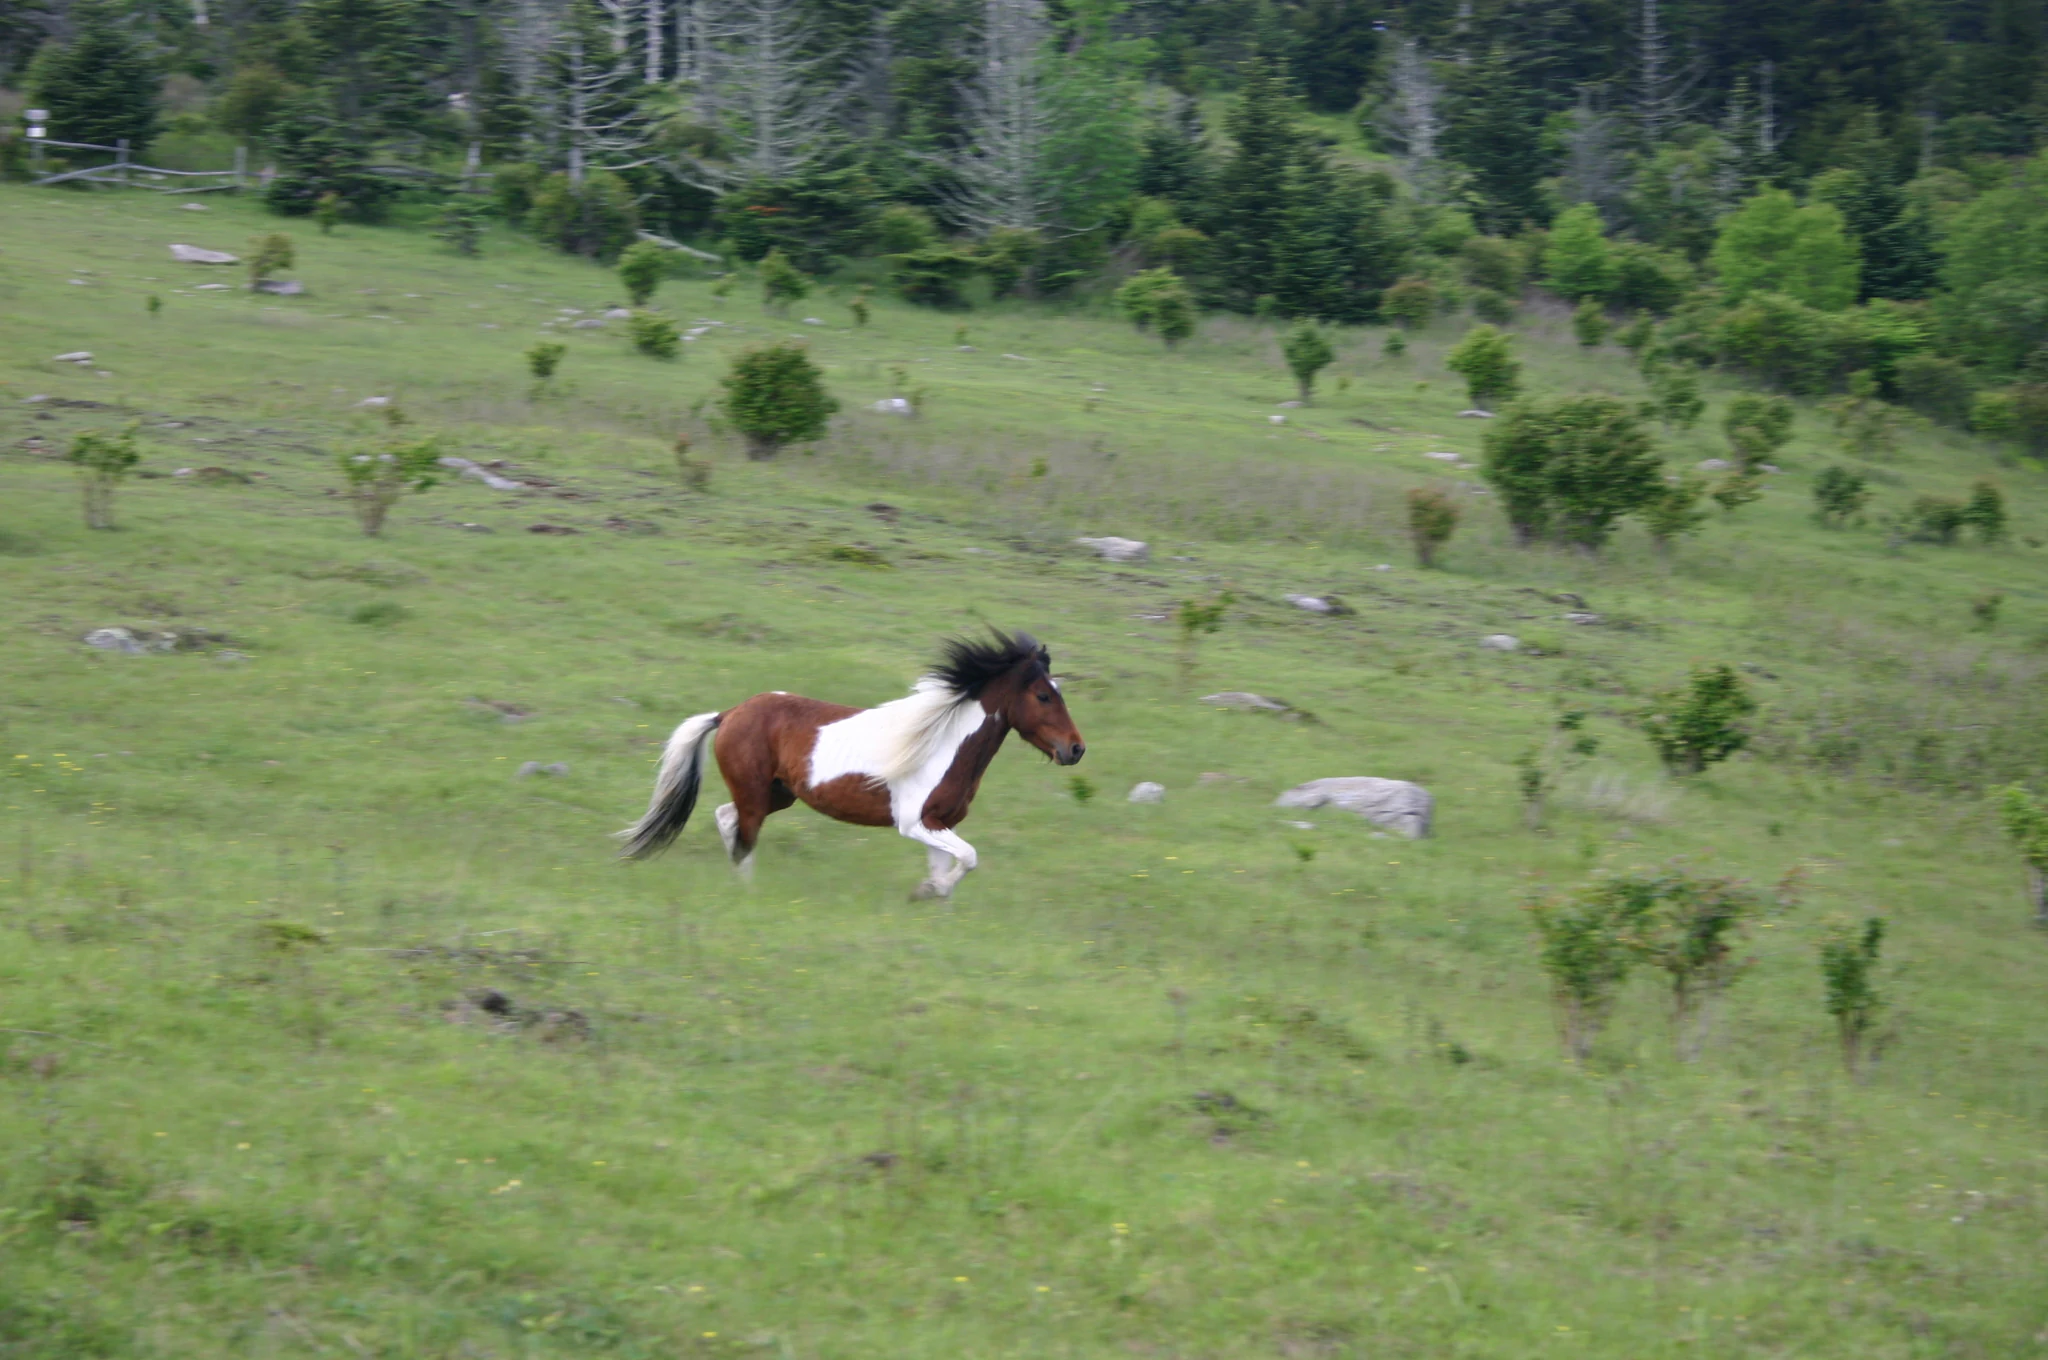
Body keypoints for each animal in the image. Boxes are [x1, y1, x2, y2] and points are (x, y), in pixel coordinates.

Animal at [618, 630, 1085, 899]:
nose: (1076, 749)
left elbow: (952, 868)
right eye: (1044, 695)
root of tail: (729, 713)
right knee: (742, 834)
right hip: (755, 793)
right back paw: (746, 892)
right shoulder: (916, 823)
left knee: (726, 818)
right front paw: (929, 890)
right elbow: (969, 857)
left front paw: (929, 894)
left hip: (776, 795)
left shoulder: (939, 824)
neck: (942, 745)